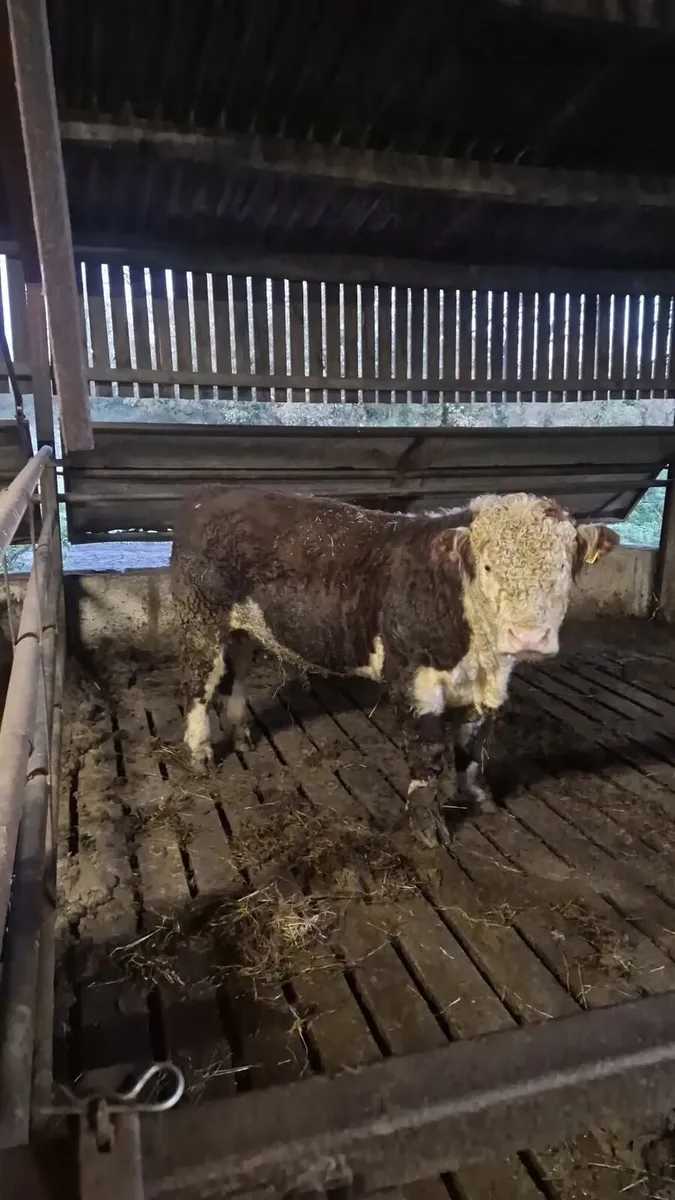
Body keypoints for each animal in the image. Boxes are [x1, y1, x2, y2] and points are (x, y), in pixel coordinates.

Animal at [170, 487, 618, 848]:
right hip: (201, 621)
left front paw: (480, 797)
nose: (527, 637)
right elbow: (428, 750)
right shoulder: (412, 677)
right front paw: (428, 825)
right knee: (199, 685)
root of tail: (209, 495)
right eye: (488, 566)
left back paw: (241, 736)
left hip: (243, 629)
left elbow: (473, 743)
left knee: (234, 678)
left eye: (563, 566)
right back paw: (199, 752)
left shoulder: (489, 685)